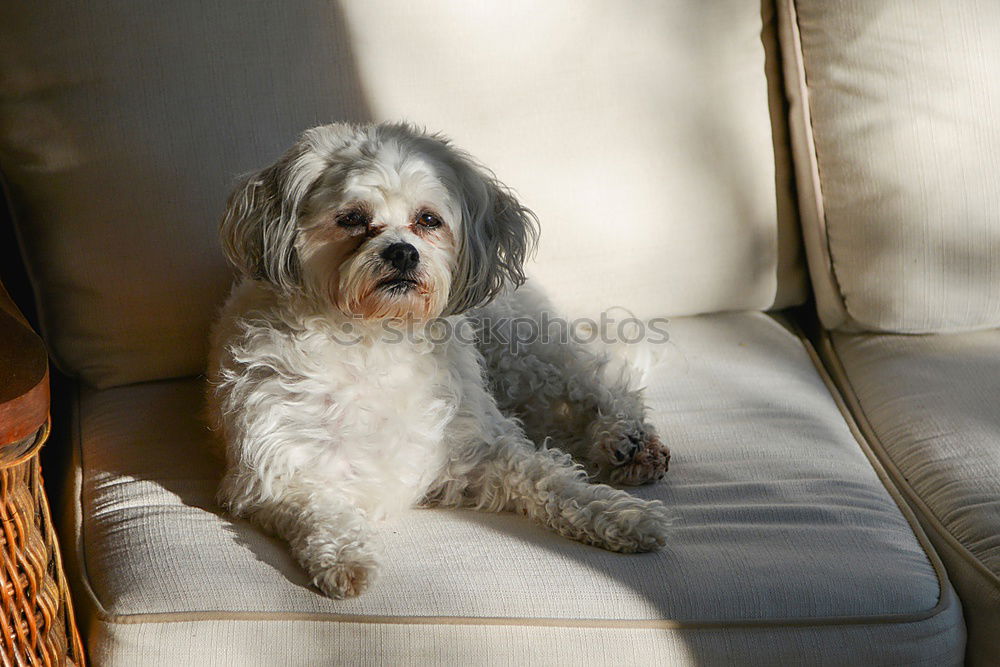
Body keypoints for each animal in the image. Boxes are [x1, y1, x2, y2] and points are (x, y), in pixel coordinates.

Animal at [207, 122, 672, 596]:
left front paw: (621, 515)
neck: (375, 338)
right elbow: (320, 509)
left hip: (517, 347)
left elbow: (549, 476)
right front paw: (346, 559)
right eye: (352, 218)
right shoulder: (274, 472)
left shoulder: (481, 448)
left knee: (592, 384)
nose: (402, 251)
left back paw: (627, 441)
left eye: (428, 220)